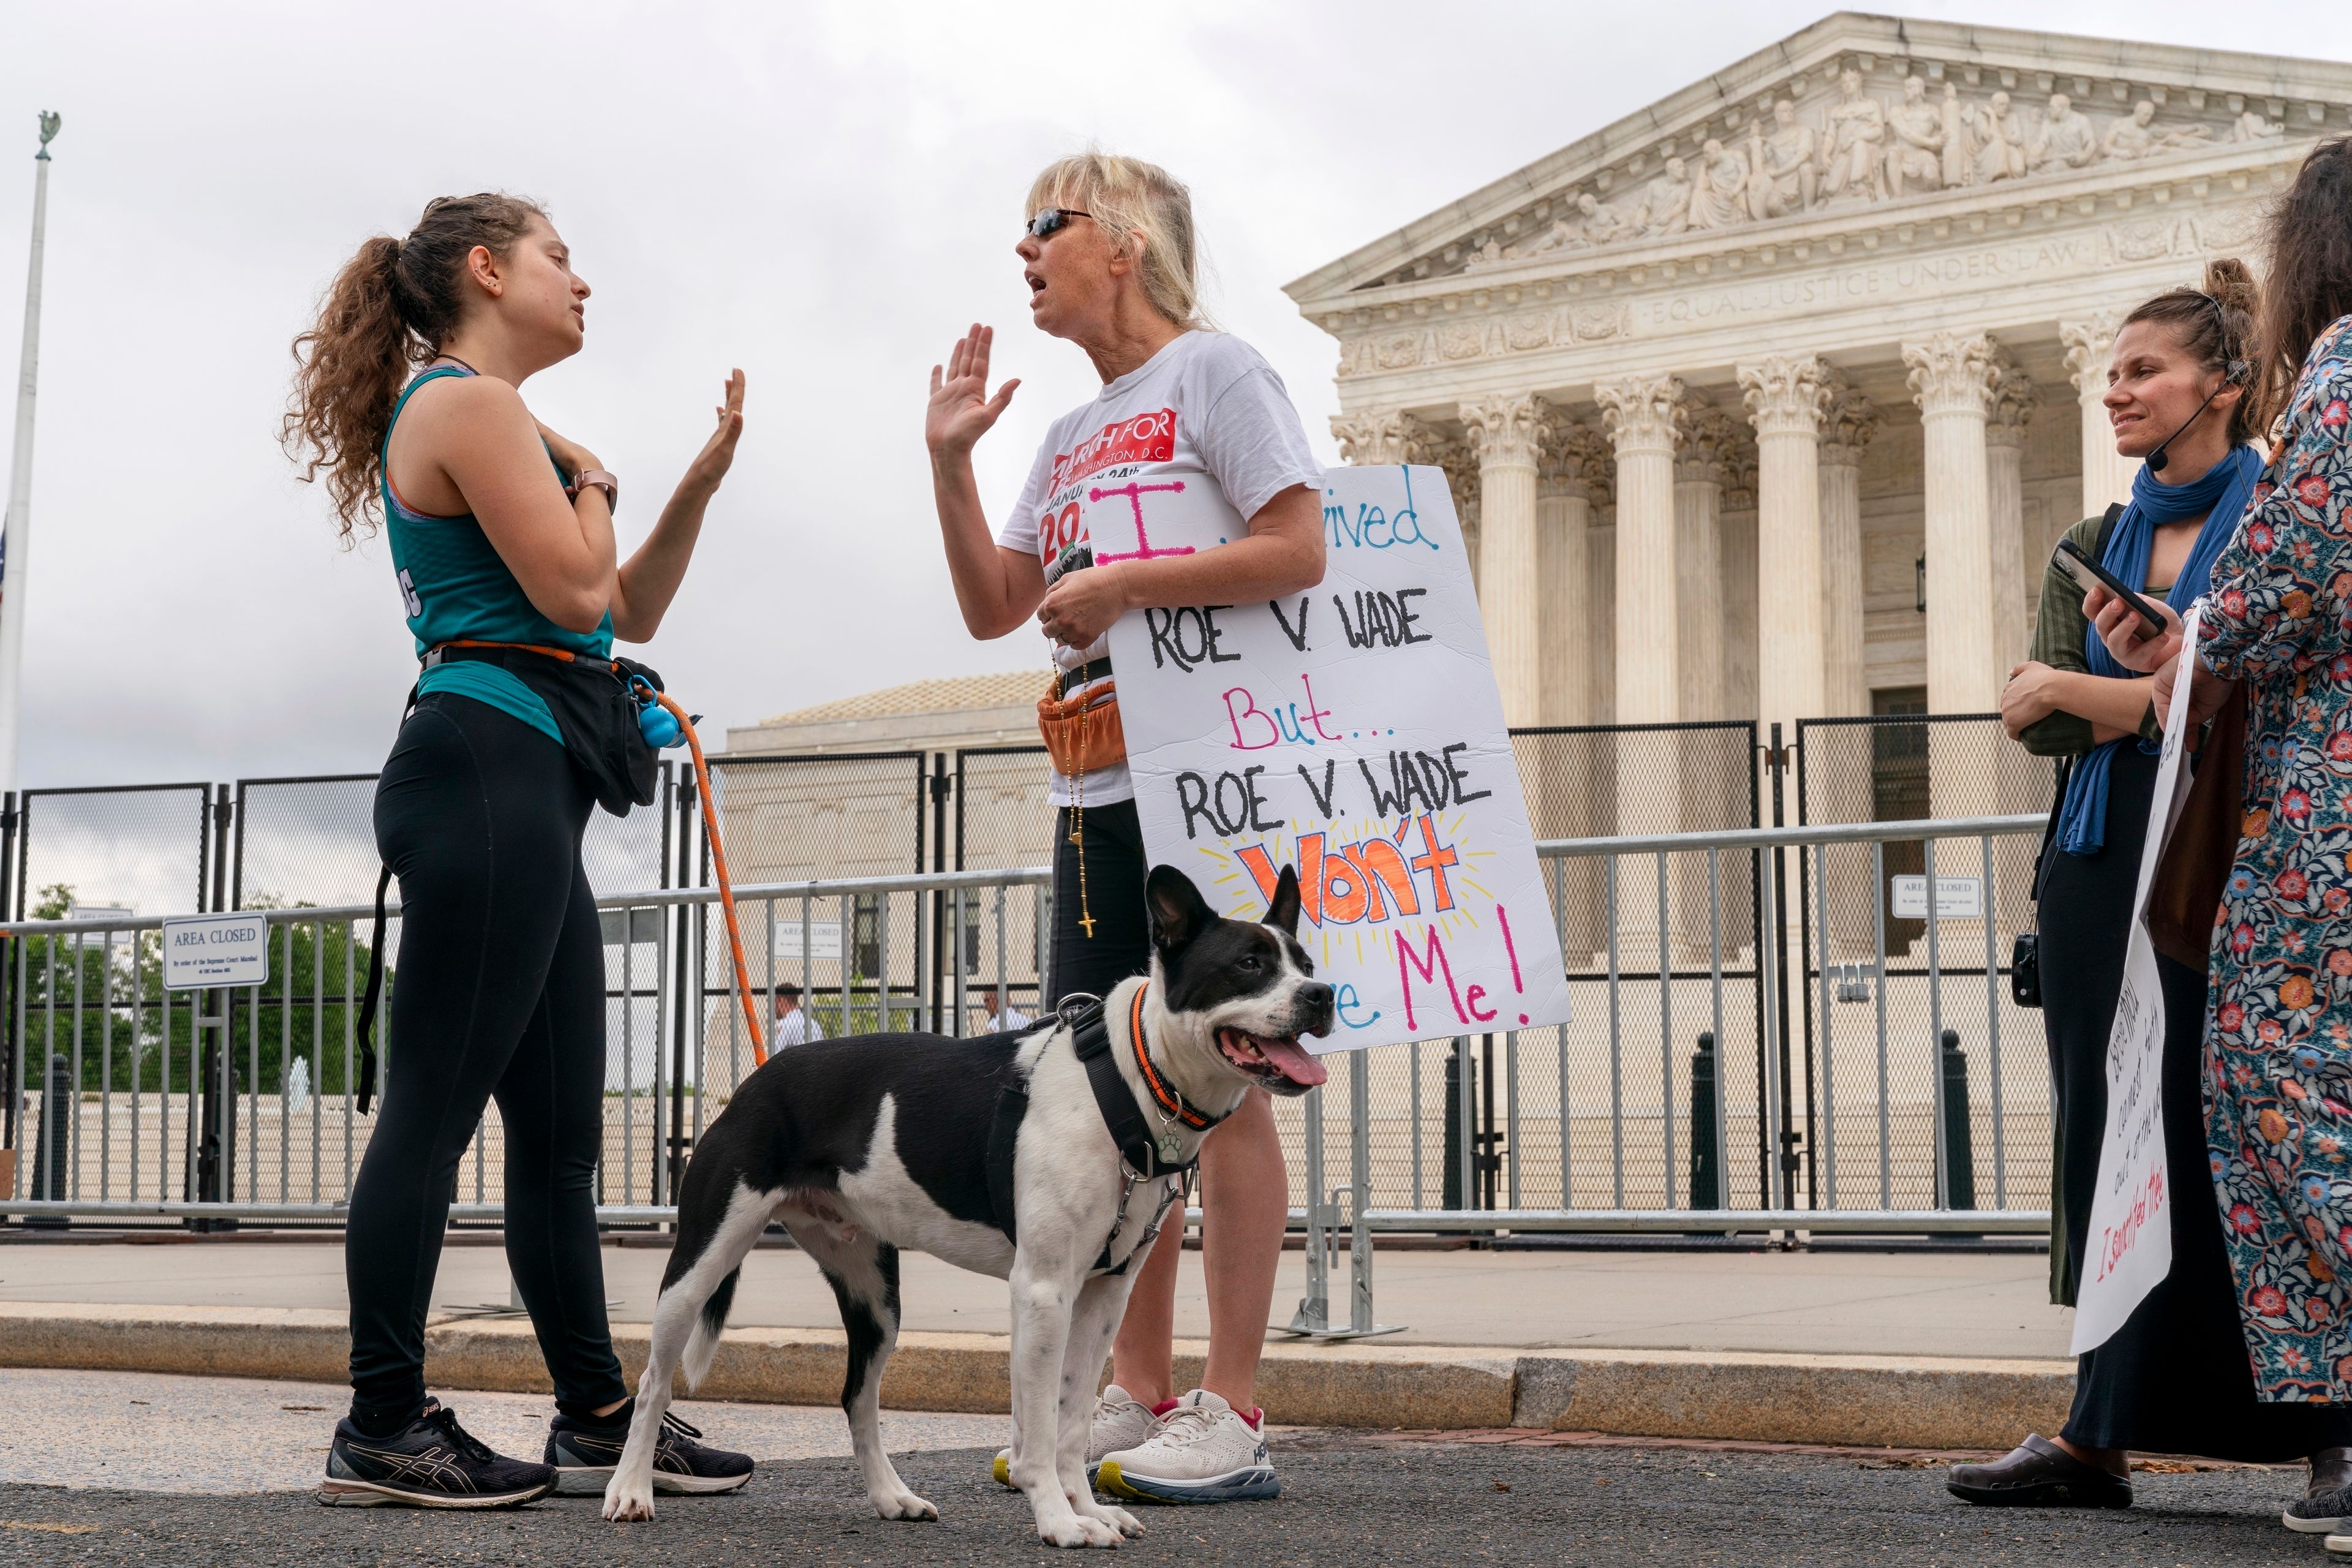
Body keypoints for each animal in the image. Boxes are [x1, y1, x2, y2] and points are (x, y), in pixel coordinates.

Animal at [602, 865, 1345, 1542]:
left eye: (1305, 962)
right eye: (1248, 964)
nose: (1322, 994)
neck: (1130, 1079)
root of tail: (758, 1078)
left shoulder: (1104, 1295)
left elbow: (1072, 1423)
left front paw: (1089, 1509)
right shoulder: (1042, 1292)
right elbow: (1039, 1430)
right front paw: (1057, 1520)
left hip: (874, 1296)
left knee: (857, 1398)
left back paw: (892, 1497)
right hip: (700, 1264)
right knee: (654, 1383)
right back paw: (632, 1488)